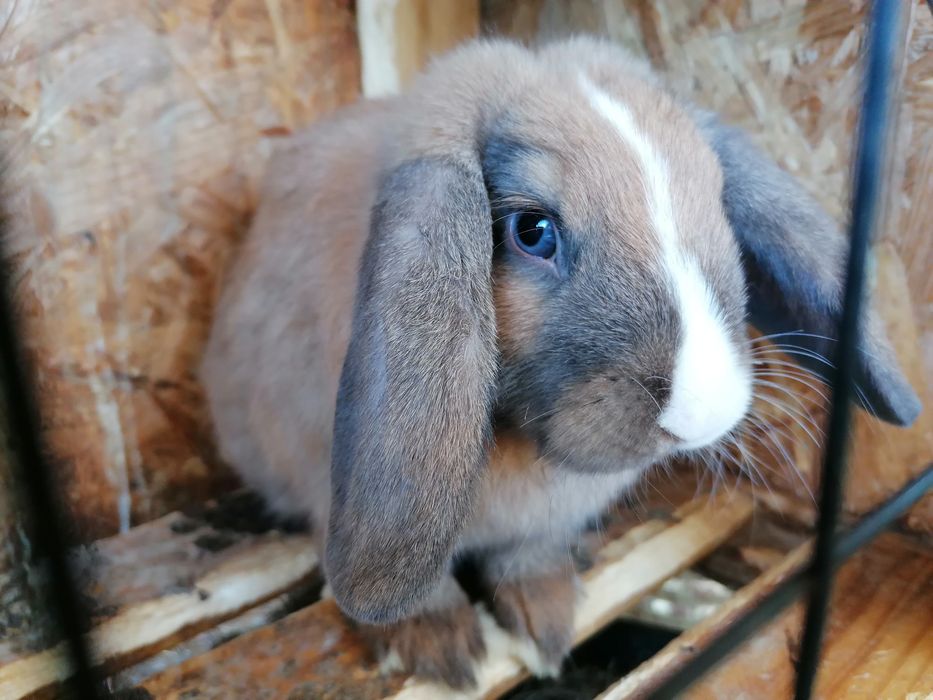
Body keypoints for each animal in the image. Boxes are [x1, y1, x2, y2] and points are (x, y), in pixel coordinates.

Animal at [200, 37, 921, 688]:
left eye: (718, 206)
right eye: (531, 231)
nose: (700, 414)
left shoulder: (540, 525)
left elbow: (530, 557)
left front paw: (546, 622)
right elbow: (419, 583)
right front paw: (442, 649)